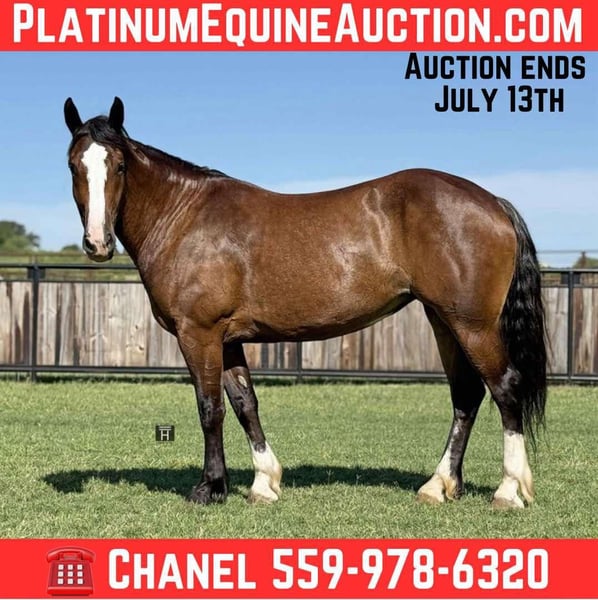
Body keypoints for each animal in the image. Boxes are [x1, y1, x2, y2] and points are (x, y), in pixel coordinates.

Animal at [63, 96, 546, 510]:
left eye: (119, 165)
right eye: (73, 166)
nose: (97, 243)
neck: (183, 216)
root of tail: (494, 203)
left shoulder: (199, 333)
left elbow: (209, 408)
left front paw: (210, 488)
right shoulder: (228, 338)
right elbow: (244, 404)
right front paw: (263, 483)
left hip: (473, 325)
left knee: (505, 388)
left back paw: (508, 490)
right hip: (443, 320)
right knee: (466, 394)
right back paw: (439, 485)